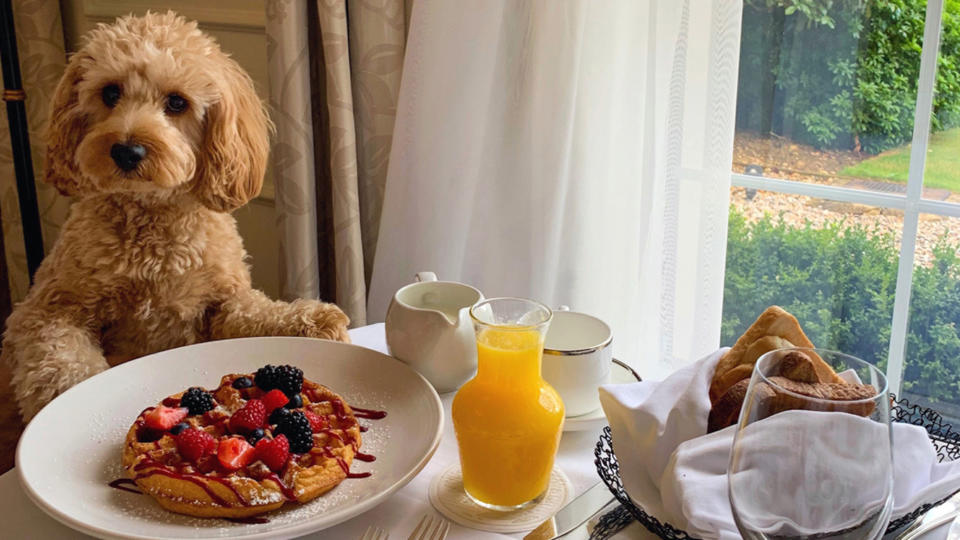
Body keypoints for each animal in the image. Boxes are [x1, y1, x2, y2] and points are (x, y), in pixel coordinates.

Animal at [0, 12, 352, 432]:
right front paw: (75, 395)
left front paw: (312, 320)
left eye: (176, 102)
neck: (154, 220)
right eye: (110, 93)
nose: (127, 150)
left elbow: (256, 313)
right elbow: (62, 361)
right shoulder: (47, 310)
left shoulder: (222, 305)